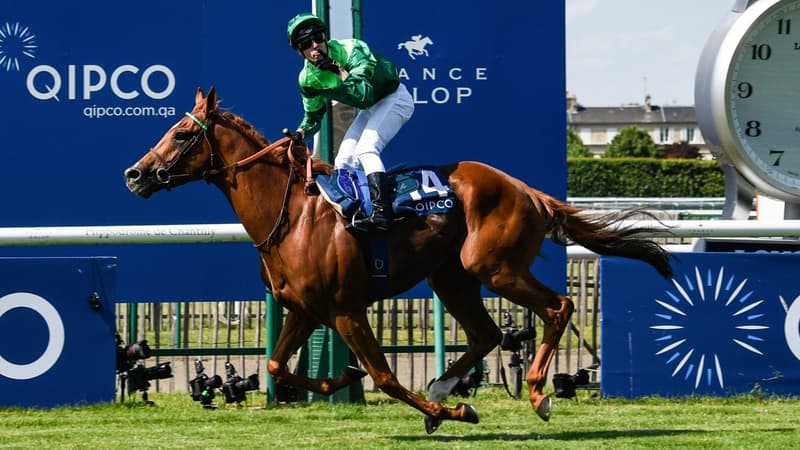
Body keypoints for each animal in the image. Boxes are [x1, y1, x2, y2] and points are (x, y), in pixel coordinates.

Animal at [125, 87, 676, 432]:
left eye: (181, 134)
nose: (135, 173)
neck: (294, 213)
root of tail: (528, 190)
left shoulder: (346, 310)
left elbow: (387, 377)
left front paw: (450, 412)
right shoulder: (306, 310)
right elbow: (279, 365)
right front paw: (345, 379)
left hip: (494, 267)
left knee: (557, 307)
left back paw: (537, 394)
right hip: (451, 277)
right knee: (487, 334)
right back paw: (446, 383)